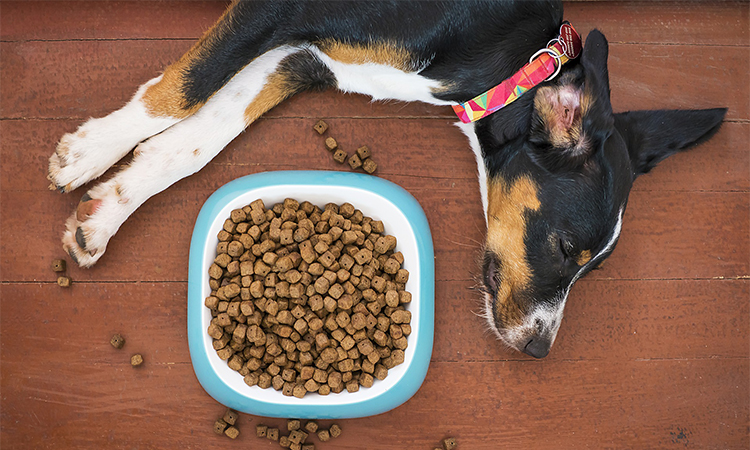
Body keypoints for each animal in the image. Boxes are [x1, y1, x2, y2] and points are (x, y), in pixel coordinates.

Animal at [48, 0, 728, 358]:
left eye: (594, 269)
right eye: (564, 248)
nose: (538, 349)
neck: (515, 58)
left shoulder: (305, 57)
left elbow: (195, 139)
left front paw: (106, 210)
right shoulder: (279, 11)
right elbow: (181, 91)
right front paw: (87, 153)